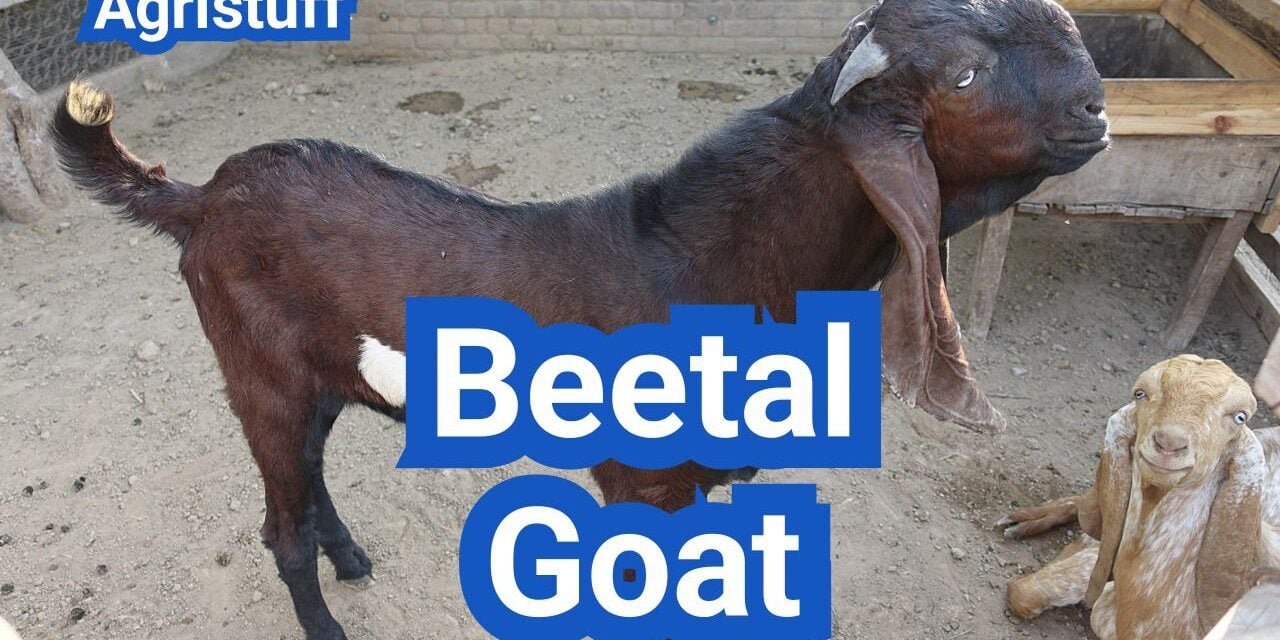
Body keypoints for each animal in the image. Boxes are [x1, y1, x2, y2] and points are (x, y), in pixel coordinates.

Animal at [52, 0, 1106, 636]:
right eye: (964, 77)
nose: (1098, 106)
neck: (702, 264)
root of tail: (202, 197)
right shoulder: (637, 479)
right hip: (257, 370)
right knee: (281, 524)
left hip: (318, 375)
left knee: (307, 479)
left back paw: (353, 558)